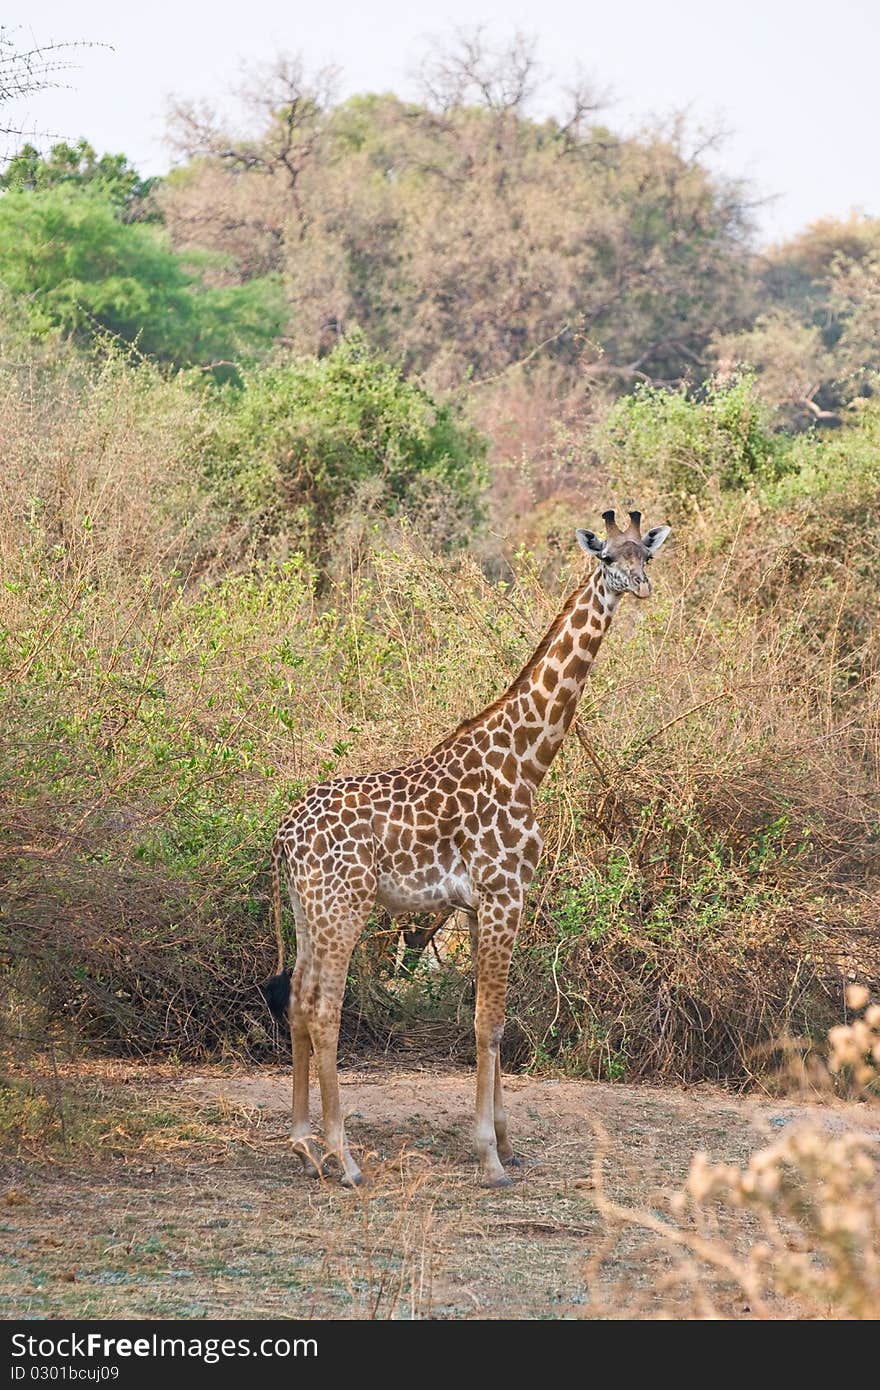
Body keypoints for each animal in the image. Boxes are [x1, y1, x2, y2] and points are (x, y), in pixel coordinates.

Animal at [261, 511, 664, 1184]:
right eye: (607, 557)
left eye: (646, 556)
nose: (639, 586)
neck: (527, 761)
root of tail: (282, 836)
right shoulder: (504, 894)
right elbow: (488, 1022)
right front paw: (489, 1157)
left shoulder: (481, 906)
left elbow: (494, 1022)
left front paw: (506, 1142)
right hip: (343, 908)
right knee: (323, 1009)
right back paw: (344, 1158)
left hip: (307, 909)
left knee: (296, 999)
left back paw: (302, 1145)